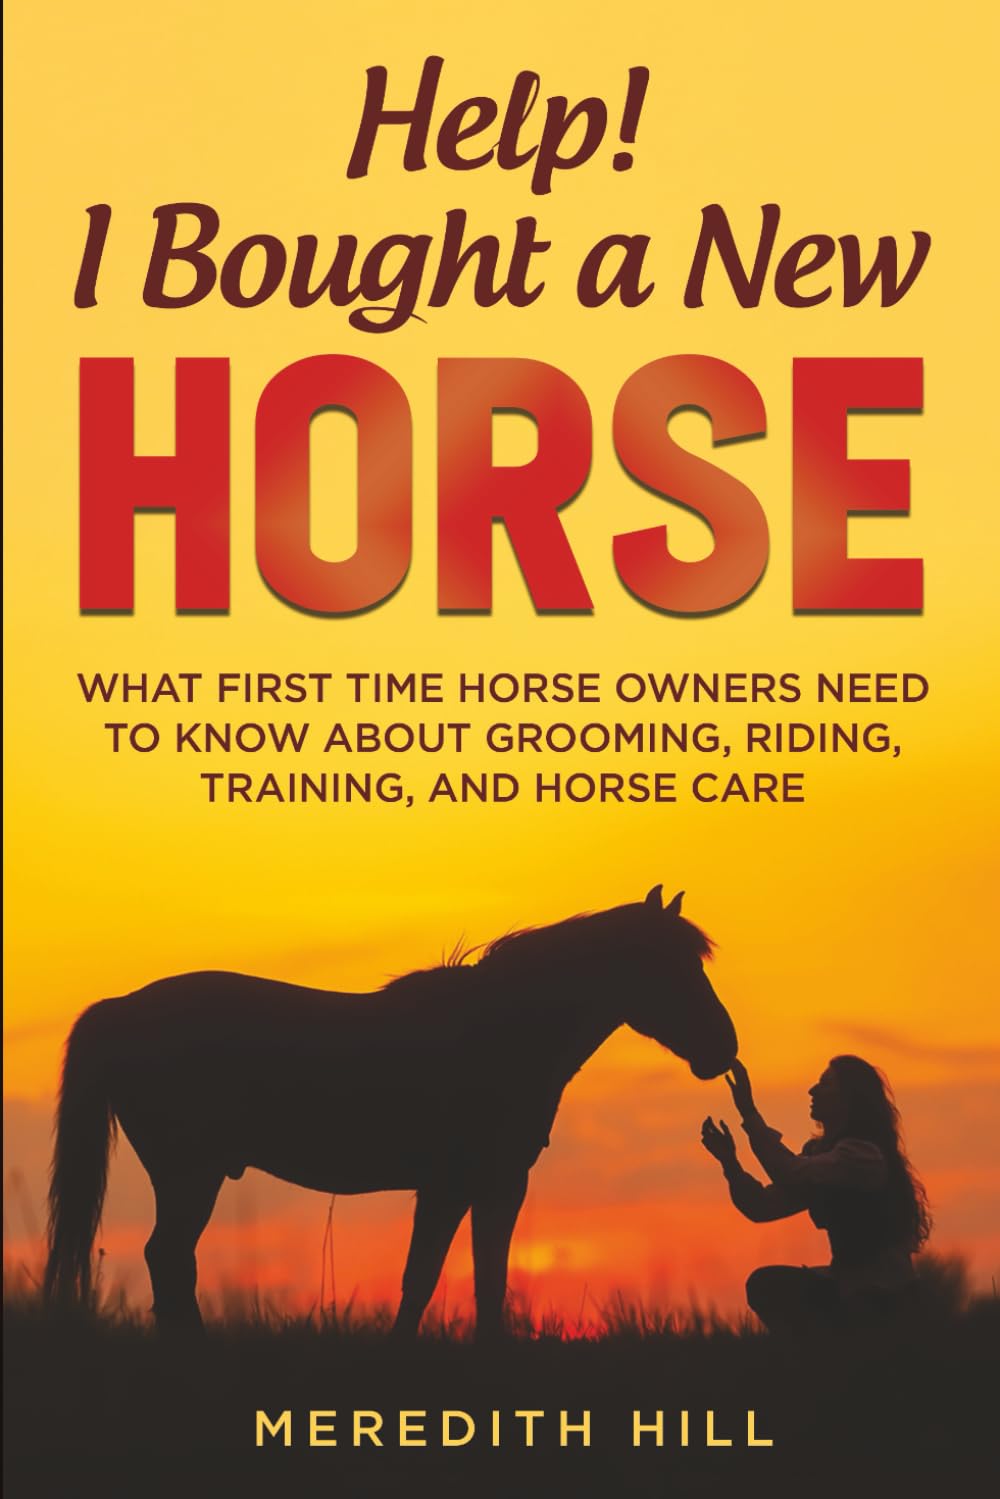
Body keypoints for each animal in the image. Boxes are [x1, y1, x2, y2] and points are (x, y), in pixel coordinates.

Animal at [44, 886, 737, 1338]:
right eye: (669, 966)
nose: (724, 1049)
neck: (500, 1031)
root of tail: (121, 1008)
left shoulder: (471, 1188)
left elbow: (460, 1280)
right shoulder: (477, 1184)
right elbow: (439, 1279)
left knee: (172, 1262)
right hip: (190, 1175)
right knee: (168, 1259)